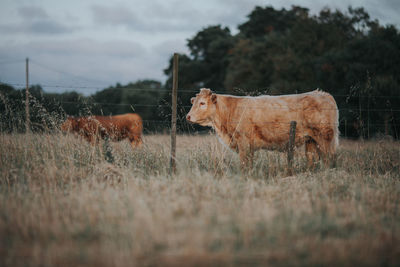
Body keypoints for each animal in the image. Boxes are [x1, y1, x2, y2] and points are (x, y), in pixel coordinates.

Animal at [187, 89, 338, 170]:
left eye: (202, 103)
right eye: (193, 102)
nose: (188, 116)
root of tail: (323, 94)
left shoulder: (243, 141)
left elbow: (244, 163)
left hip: (325, 138)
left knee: (329, 158)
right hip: (311, 140)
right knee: (312, 159)